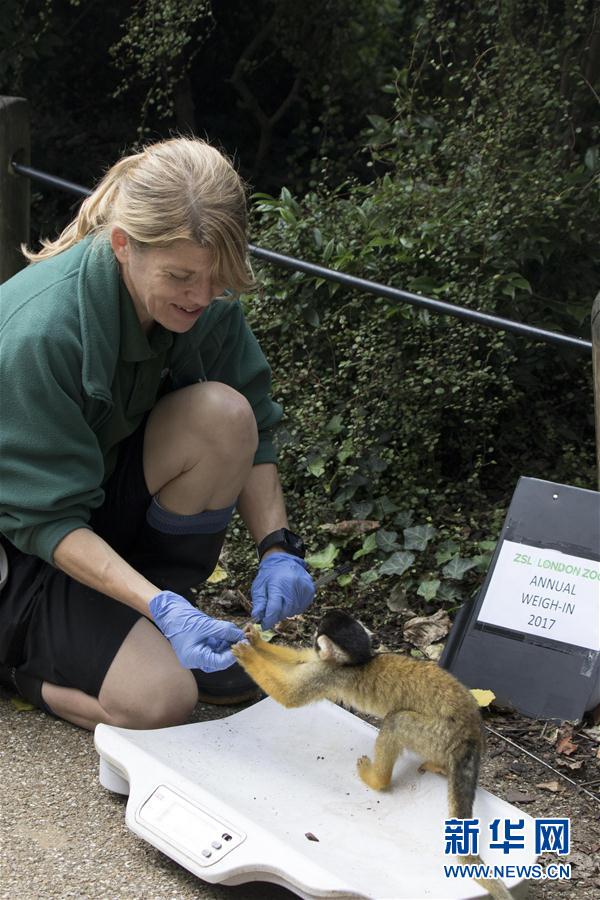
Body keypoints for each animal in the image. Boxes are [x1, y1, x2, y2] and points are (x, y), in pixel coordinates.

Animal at [233, 608, 510, 896]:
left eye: (317, 636)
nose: (312, 638)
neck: (357, 661)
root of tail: (472, 730)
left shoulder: (331, 673)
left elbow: (289, 695)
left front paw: (247, 655)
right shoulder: (325, 666)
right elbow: (298, 659)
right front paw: (256, 640)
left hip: (439, 731)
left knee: (396, 722)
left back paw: (378, 780)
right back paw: (440, 765)